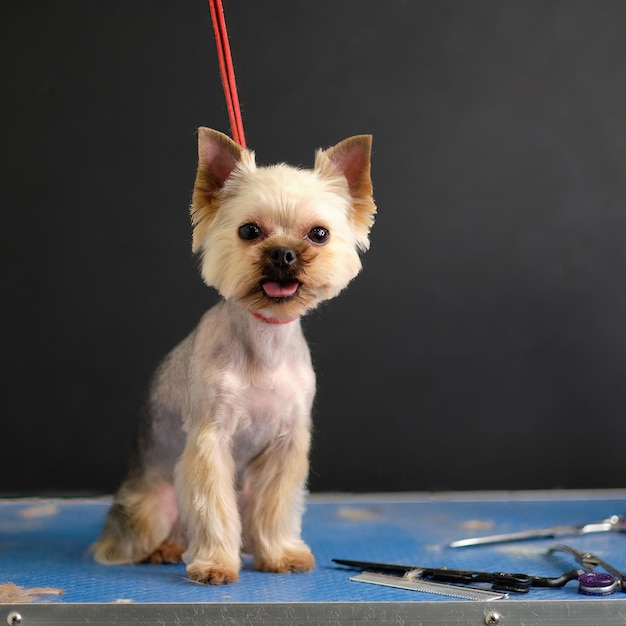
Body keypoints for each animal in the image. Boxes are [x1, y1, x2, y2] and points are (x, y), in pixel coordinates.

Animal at [93, 129, 376, 584]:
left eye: (318, 234)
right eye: (249, 230)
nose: (282, 253)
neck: (264, 340)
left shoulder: (285, 444)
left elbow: (276, 505)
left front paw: (280, 554)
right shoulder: (210, 440)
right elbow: (212, 507)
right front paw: (214, 564)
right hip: (152, 504)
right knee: (157, 529)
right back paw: (165, 549)